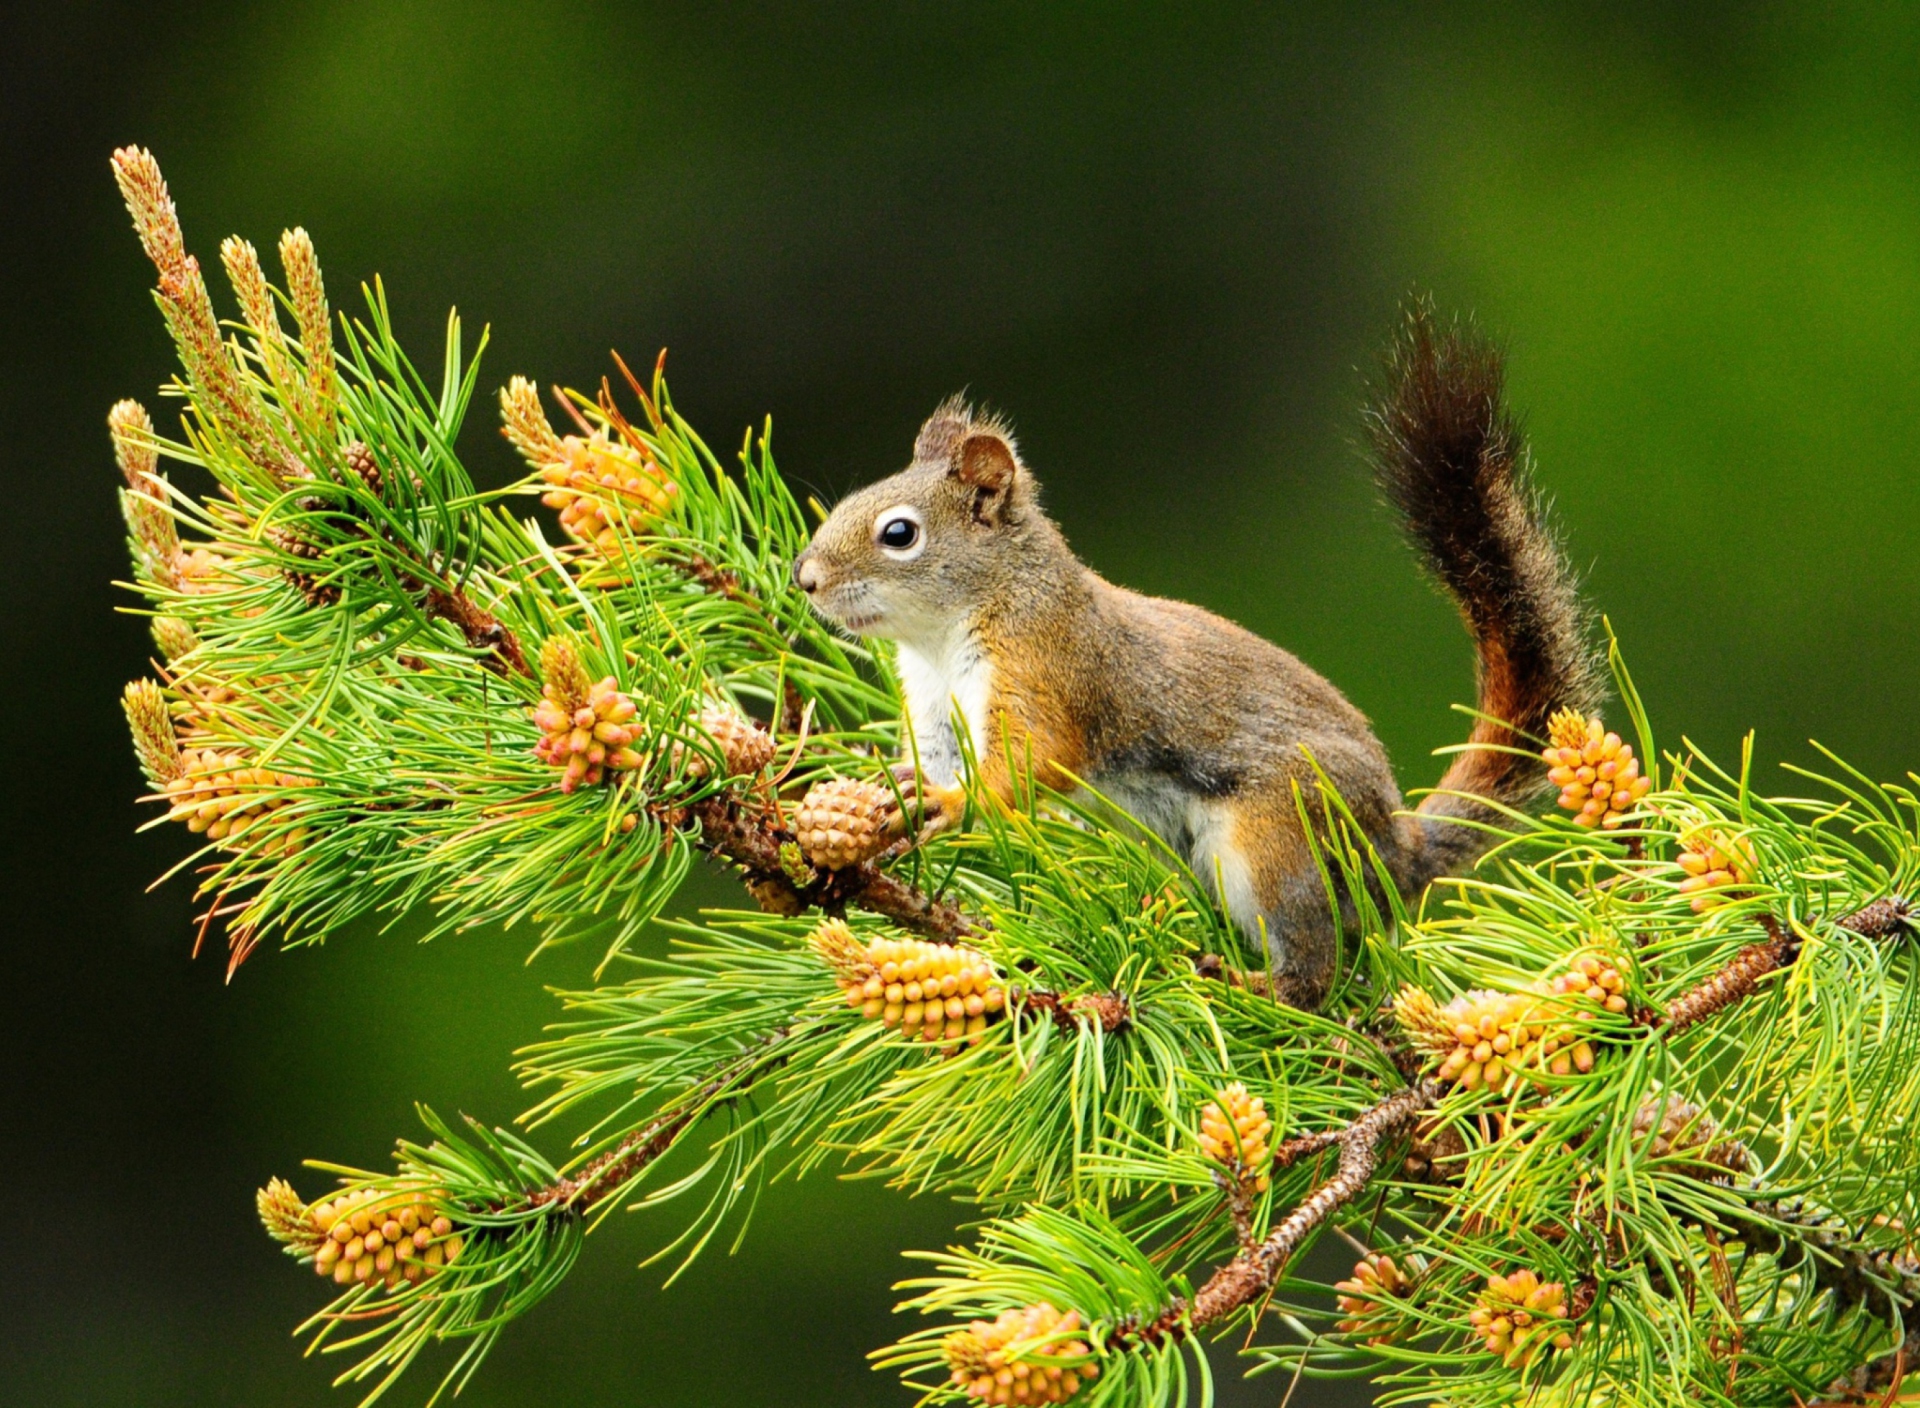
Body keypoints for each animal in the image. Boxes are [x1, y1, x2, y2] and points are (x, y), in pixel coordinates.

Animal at [787, 305, 1597, 1014]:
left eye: (899, 533)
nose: (805, 579)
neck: (946, 636)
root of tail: (1396, 851)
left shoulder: (1047, 670)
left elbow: (1033, 762)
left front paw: (951, 803)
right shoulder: (933, 710)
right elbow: (934, 761)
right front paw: (895, 790)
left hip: (1278, 837)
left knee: (1316, 967)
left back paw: (1254, 985)